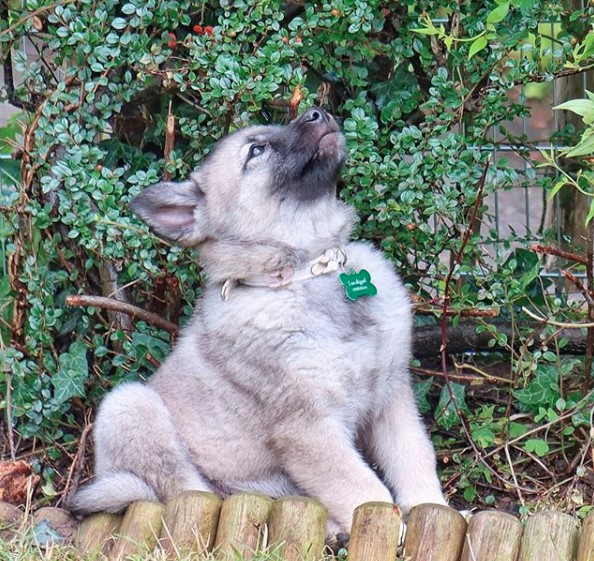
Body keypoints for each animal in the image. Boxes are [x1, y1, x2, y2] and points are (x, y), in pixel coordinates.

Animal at [68, 107, 444, 532]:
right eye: (256, 151)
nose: (318, 112)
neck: (310, 269)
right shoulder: (308, 427)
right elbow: (366, 490)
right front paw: (394, 533)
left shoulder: (391, 397)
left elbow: (415, 459)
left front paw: (435, 512)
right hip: (131, 406)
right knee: (186, 493)